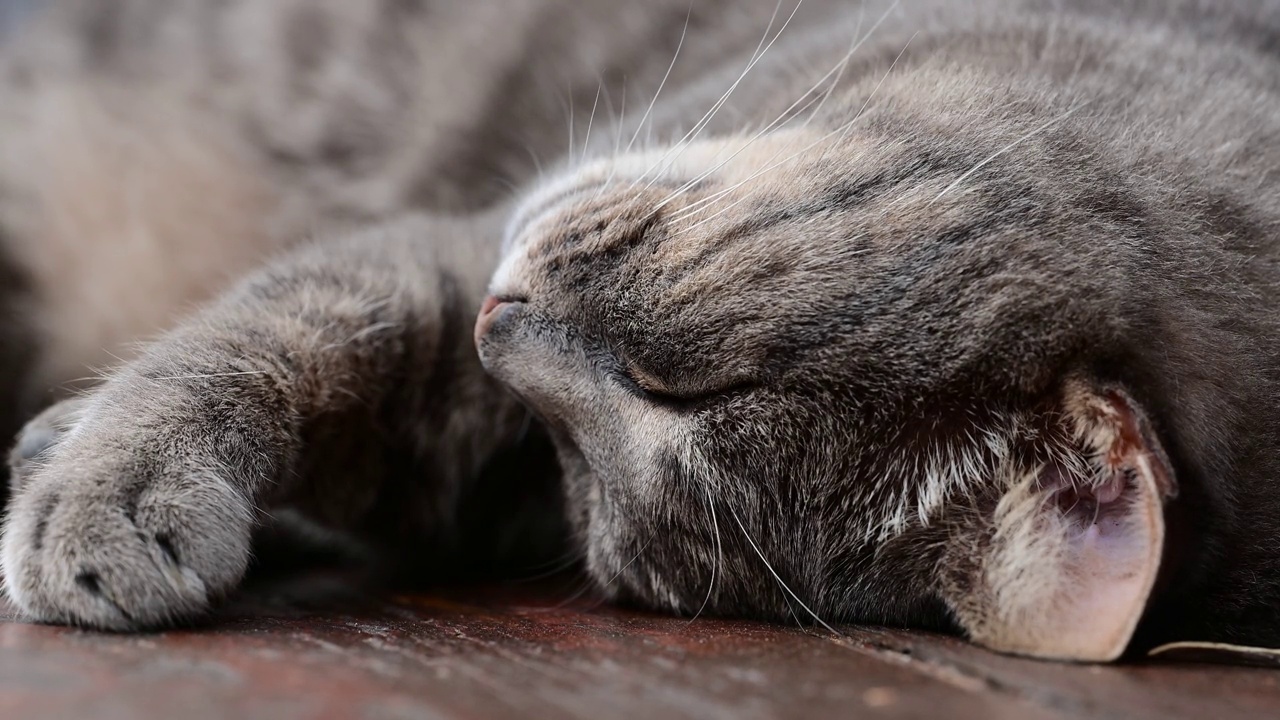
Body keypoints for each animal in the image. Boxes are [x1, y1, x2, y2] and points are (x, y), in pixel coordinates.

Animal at [0, 0, 1274, 661]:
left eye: (593, 474)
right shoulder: (462, 244)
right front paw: (105, 475)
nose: (499, 332)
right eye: (690, 382)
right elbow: (294, 329)